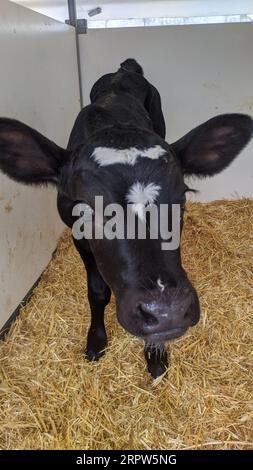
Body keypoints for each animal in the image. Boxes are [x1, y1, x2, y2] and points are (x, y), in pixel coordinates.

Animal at [0, 58, 252, 378]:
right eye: (86, 208)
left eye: (181, 200)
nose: (167, 312)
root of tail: (125, 69)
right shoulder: (77, 235)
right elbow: (97, 292)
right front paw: (96, 341)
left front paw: (156, 354)